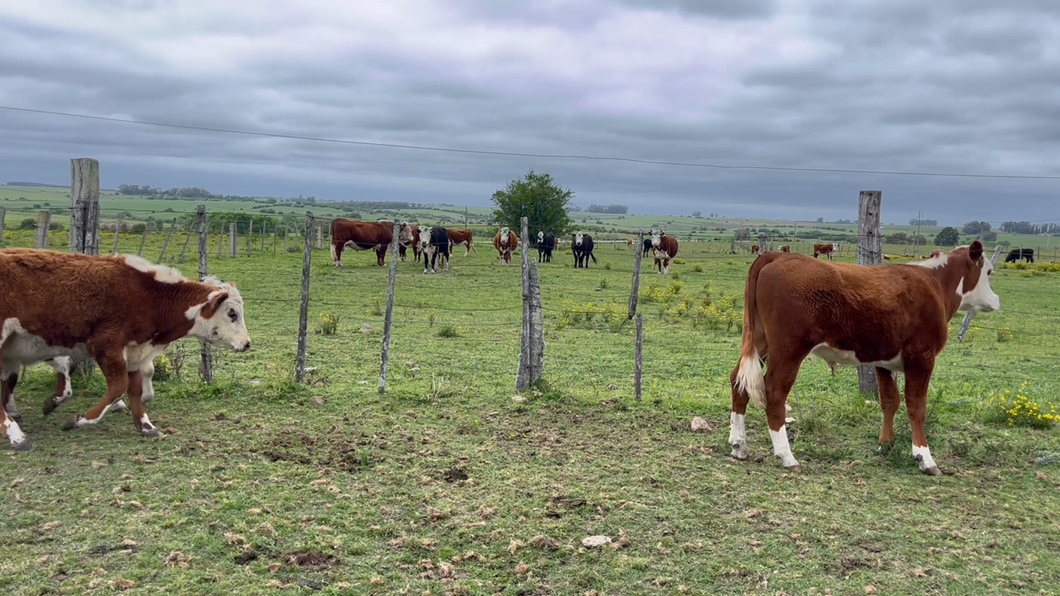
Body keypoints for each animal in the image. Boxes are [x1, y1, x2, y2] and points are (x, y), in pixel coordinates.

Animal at [0, 249, 250, 449]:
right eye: (232, 314)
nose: (247, 343)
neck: (149, 296)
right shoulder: (107, 347)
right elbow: (119, 387)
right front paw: (79, 420)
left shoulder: (134, 352)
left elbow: (136, 390)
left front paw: (146, 426)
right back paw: (16, 435)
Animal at [733, 239, 996, 472]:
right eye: (989, 271)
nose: (996, 300)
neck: (935, 284)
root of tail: (776, 256)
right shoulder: (921, 358)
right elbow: (916, 407)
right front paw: (925, 458)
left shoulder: (884, 362)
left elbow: (890, 401)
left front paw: (885, 444)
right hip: (788, 348)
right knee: (775, 392)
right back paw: (787, 457)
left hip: (759, 341)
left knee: (738, 381)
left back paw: (739, 446)